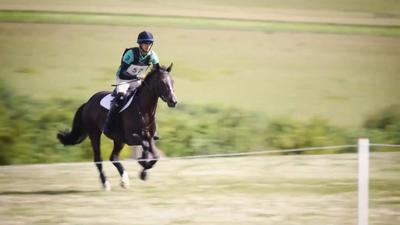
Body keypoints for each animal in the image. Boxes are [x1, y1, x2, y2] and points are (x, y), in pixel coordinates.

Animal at [56, 62, 177, 190]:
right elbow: (145, 146)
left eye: (172, 81)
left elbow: (155, 155)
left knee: (113, 157)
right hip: (95, 134)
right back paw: (105, 183)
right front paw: (142, 163)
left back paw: (124, 180)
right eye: (162, 82)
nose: (173, 101)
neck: (144, 110)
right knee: (98, 159)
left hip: (119, 140)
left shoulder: (150, 137)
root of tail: (88, 102)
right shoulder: (131, 137)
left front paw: (144, 172)